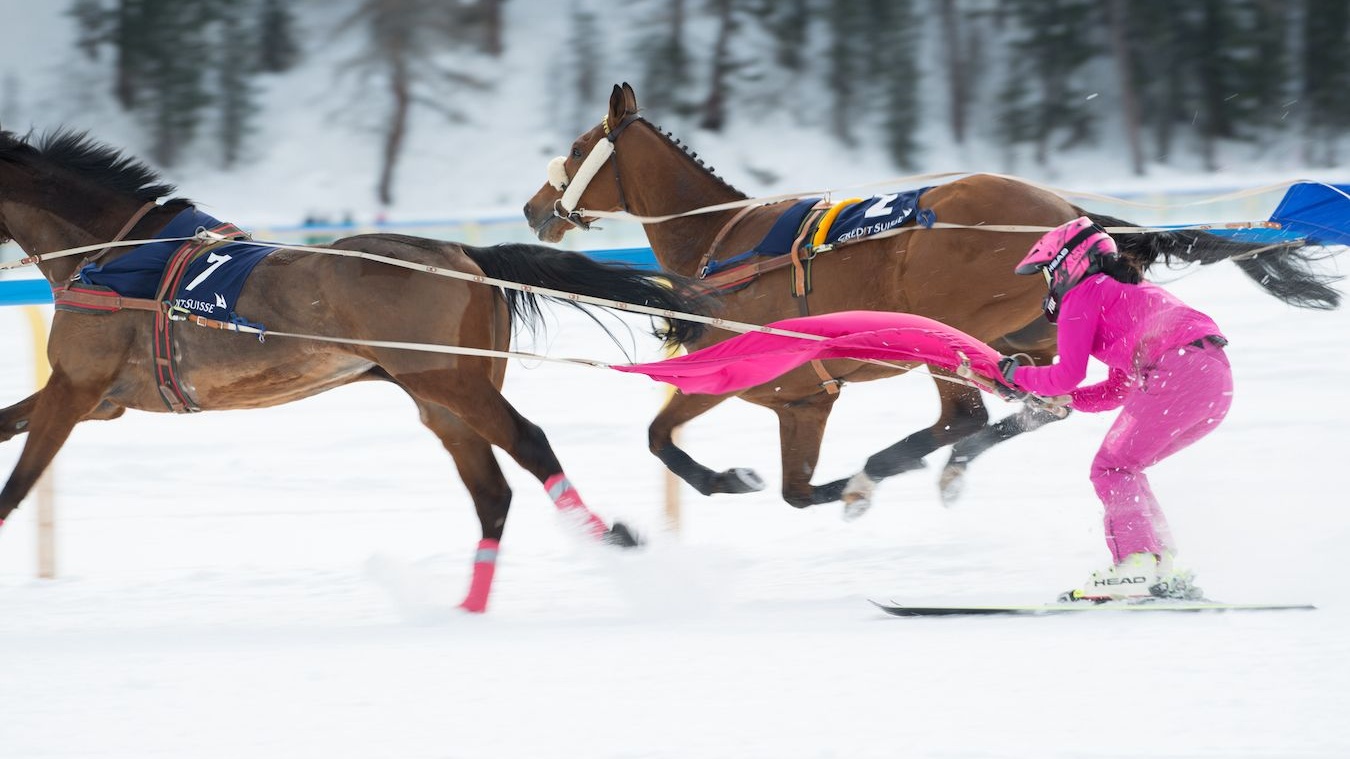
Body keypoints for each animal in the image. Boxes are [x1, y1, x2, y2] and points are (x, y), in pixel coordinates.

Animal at [0, 124, 712, 607]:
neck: (114, 255)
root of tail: (466, 255)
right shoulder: (99, 397)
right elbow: (10, 425)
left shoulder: (76, 387)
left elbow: (17, 483)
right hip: (441, 398)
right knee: (492, 492)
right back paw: (466, 607)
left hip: (448, 379)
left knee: (530, 445)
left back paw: (612, 538)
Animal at [521, 82, 1333, 515]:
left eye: (577, 148)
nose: (533, 208)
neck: (721, 245)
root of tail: (1070, 212)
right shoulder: (786, 397)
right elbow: (731, 464)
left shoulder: (779, 385)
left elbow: (702, 454)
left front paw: (767, 479)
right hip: (1023, 335)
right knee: (1037, 405)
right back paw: (937, 466)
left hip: (951, 324)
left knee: (969, 414)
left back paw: (894, 468)